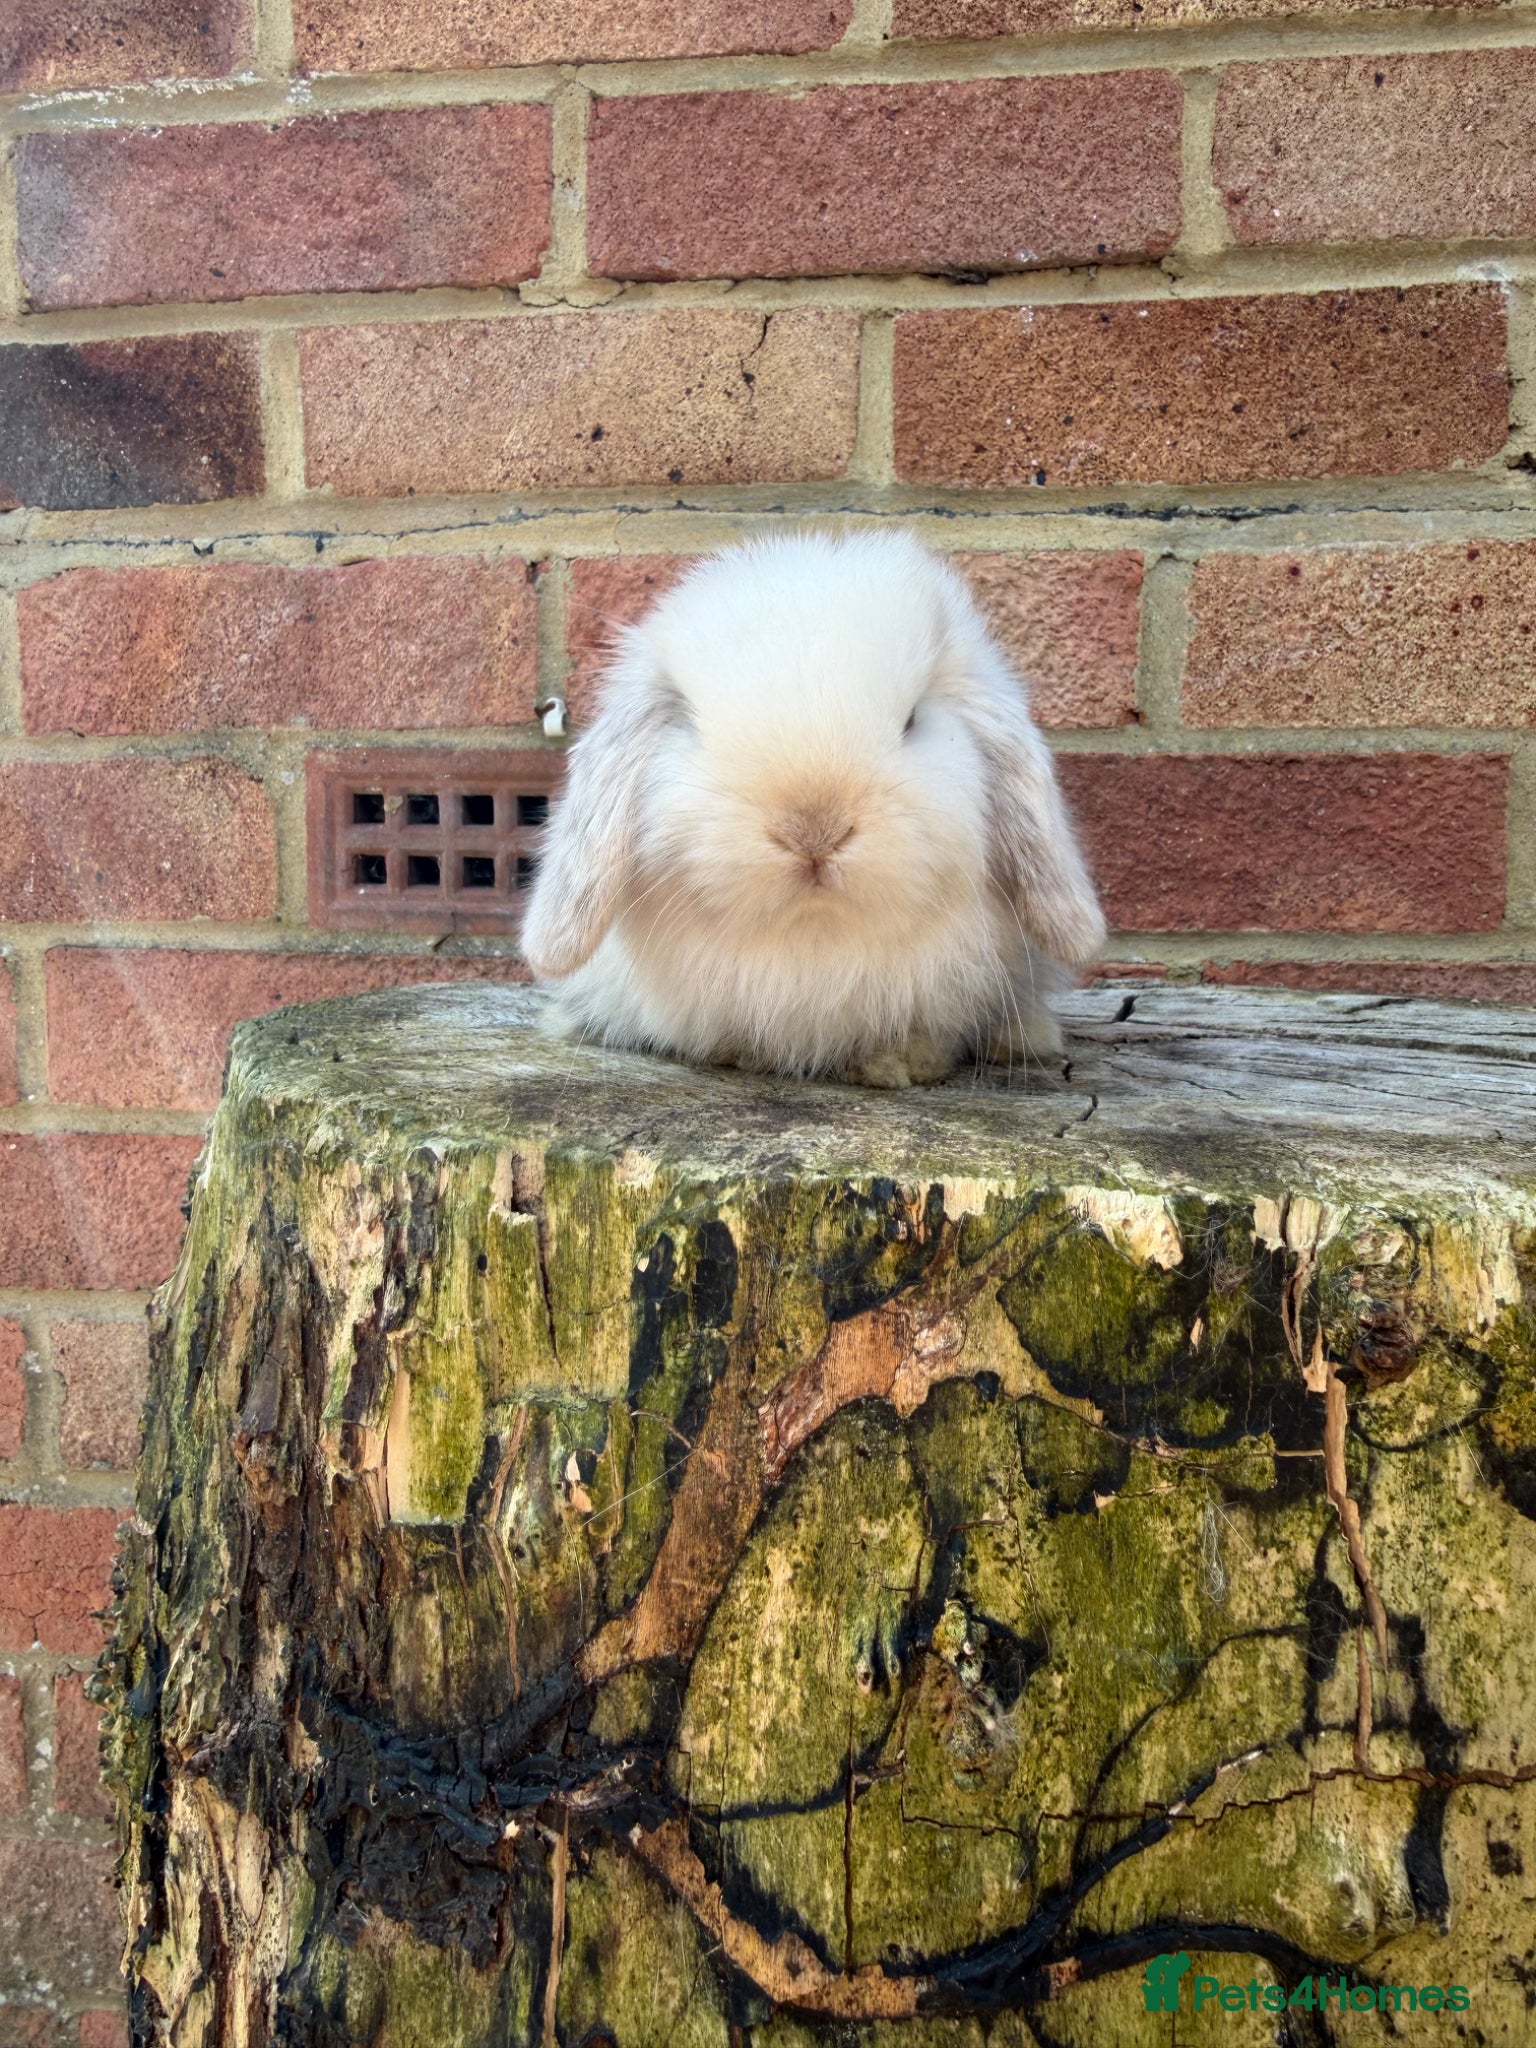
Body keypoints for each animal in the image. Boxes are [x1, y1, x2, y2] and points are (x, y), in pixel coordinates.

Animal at [520, 530, 1105, 1088]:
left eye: (912, 720)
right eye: (692, 725)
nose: (813, 832)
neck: (815, 939)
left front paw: (900, 1063)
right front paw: (745, 1054)